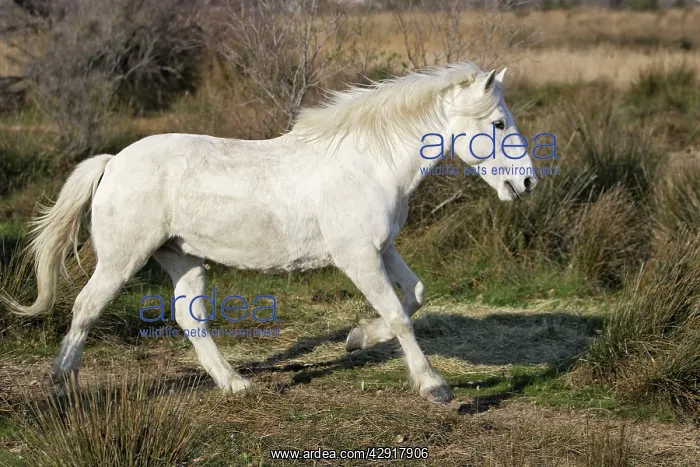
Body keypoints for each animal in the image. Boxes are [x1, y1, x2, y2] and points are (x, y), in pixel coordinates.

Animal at [1, 63, 537, 404]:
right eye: (497, 123)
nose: (528, 183)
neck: (368, 163)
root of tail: (113, 162)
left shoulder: (381, 249)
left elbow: (415, 298)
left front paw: (356, 339)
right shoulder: (358, 257)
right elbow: (401, 317)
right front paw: (434, 386)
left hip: (183, 258)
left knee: (190, 320)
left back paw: (236, 384)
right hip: (122, 259)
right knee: (85, 308)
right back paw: (61, 385)